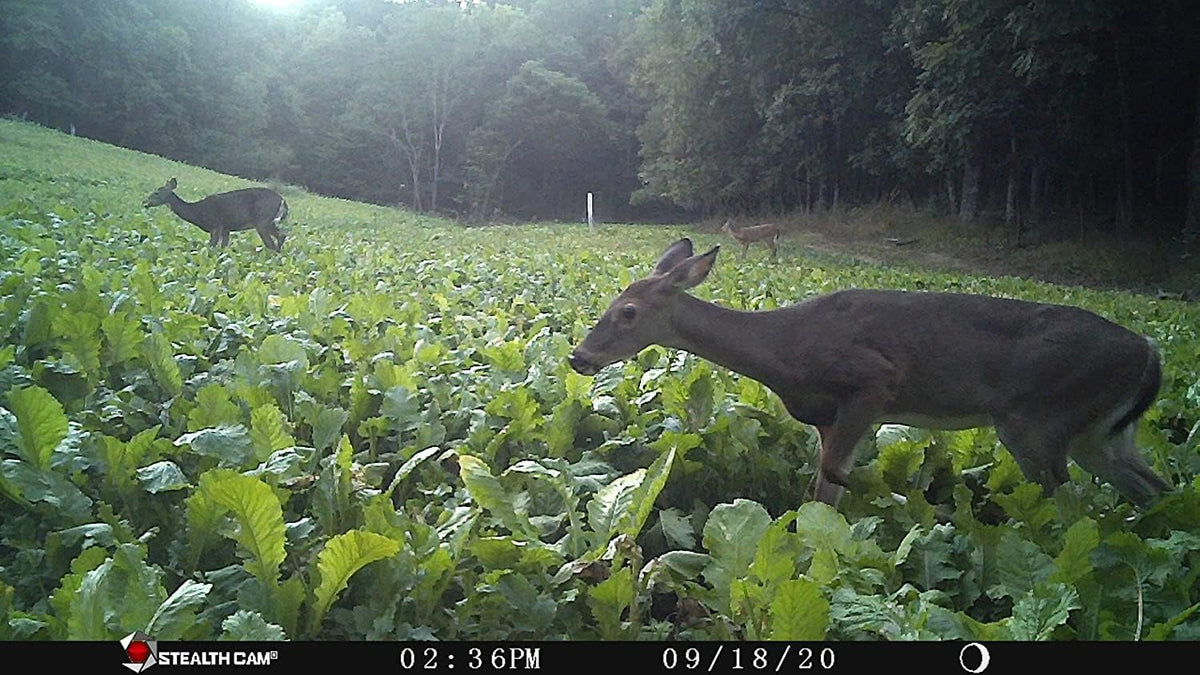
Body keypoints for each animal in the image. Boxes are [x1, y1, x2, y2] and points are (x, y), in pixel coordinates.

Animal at [144, 178, 288, 252]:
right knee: (282, 235)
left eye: (156, 193)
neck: (197, 212)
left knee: (272, 242)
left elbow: (211, 246)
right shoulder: (226, 228)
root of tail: (282, 200)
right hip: (268, 221)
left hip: (262, 220)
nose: (145, 203)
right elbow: (223, 247)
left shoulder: (215, 225)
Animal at [568, 238, 1170, 508]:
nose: (578, 358)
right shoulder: (825, 417)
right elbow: (823, 482)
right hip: (1099, 434)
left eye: (627, 312)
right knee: (1155, 487)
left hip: (1034, 420)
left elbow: (828, 483)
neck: (783, 348)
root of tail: (1149, 352)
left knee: (1070, 502)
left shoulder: (871, 383)